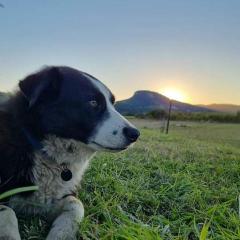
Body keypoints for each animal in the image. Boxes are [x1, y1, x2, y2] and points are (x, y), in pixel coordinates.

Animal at [0, 66, 139, 240]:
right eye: (93, 102)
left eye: (112, 103)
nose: (135, 134)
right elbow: (7, 212)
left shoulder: (49, 201)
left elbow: (75, 203)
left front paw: (61, 234)